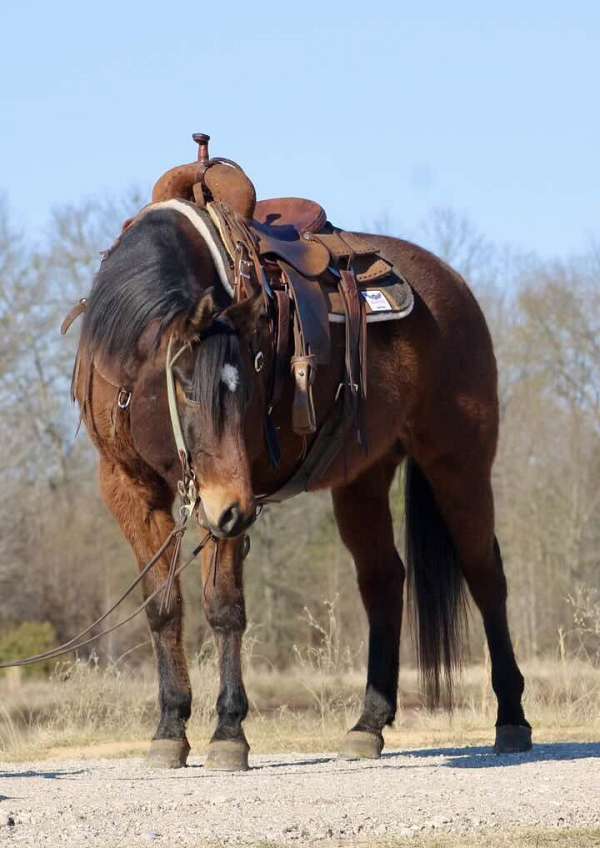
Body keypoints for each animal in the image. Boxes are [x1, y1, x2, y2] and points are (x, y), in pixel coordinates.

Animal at [74, 195, 528, 772]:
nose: (233, 510)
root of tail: (454, 286)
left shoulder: (228, 500)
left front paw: (228, 732)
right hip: (362, 481)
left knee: (485, 576)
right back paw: (367, 725)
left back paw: (512, 720)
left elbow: (224, 609)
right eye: (184, 383)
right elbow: (163, 608)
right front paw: (170, 729)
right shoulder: (131, 490)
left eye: (250, 376)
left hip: (459, 464)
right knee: (384, 581)